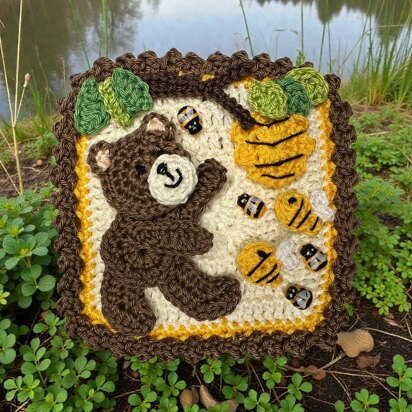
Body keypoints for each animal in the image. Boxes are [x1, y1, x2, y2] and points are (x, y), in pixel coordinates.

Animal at [87, 112, 242, 336]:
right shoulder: (130, 232)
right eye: (138, 169)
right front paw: (196, 238)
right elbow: (151, 232)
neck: (157, 215)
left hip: (172, 268)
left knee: (184, 280)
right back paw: (132, 316)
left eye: (160, 152)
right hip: (126, 272)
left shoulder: (179, 211)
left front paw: (210, 173)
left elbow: (188, 203)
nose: (162, 167)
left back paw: (218, 295)